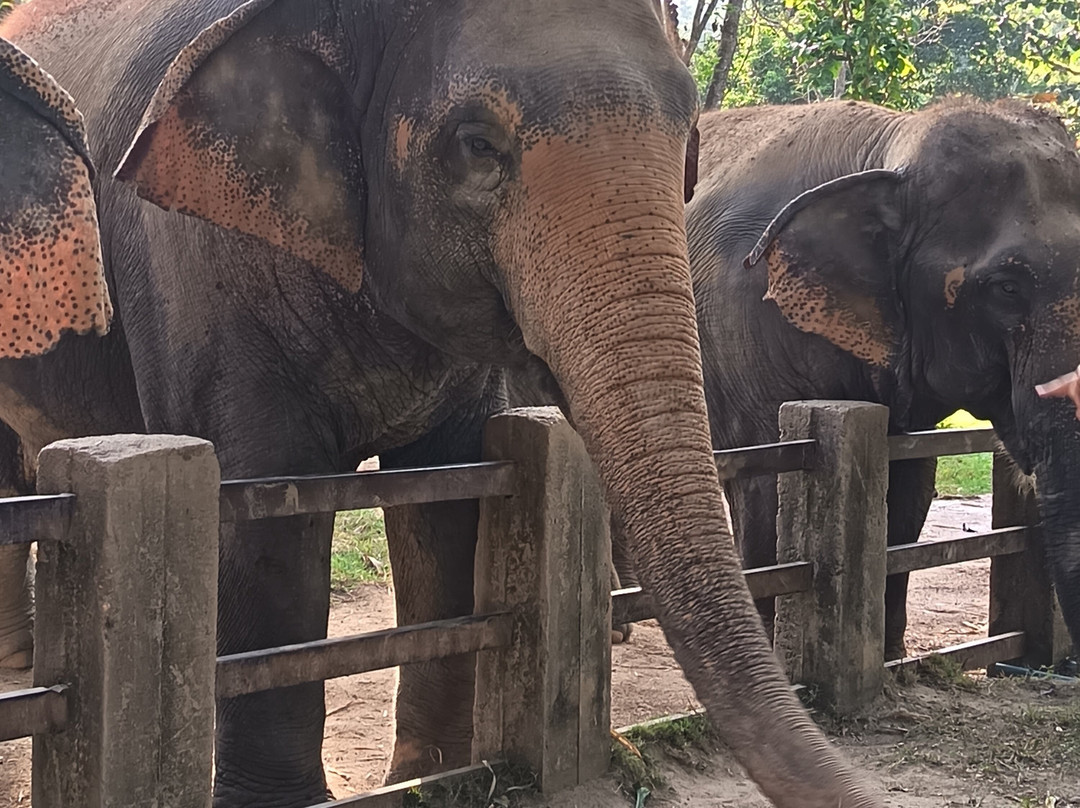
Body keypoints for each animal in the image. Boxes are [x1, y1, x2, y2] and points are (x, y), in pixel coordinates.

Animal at [0, 2, 881, 807]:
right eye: (477, 144)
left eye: (685, 134)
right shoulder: (191, 268)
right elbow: (263, 520)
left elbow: (450, 500)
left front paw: (433, 778)